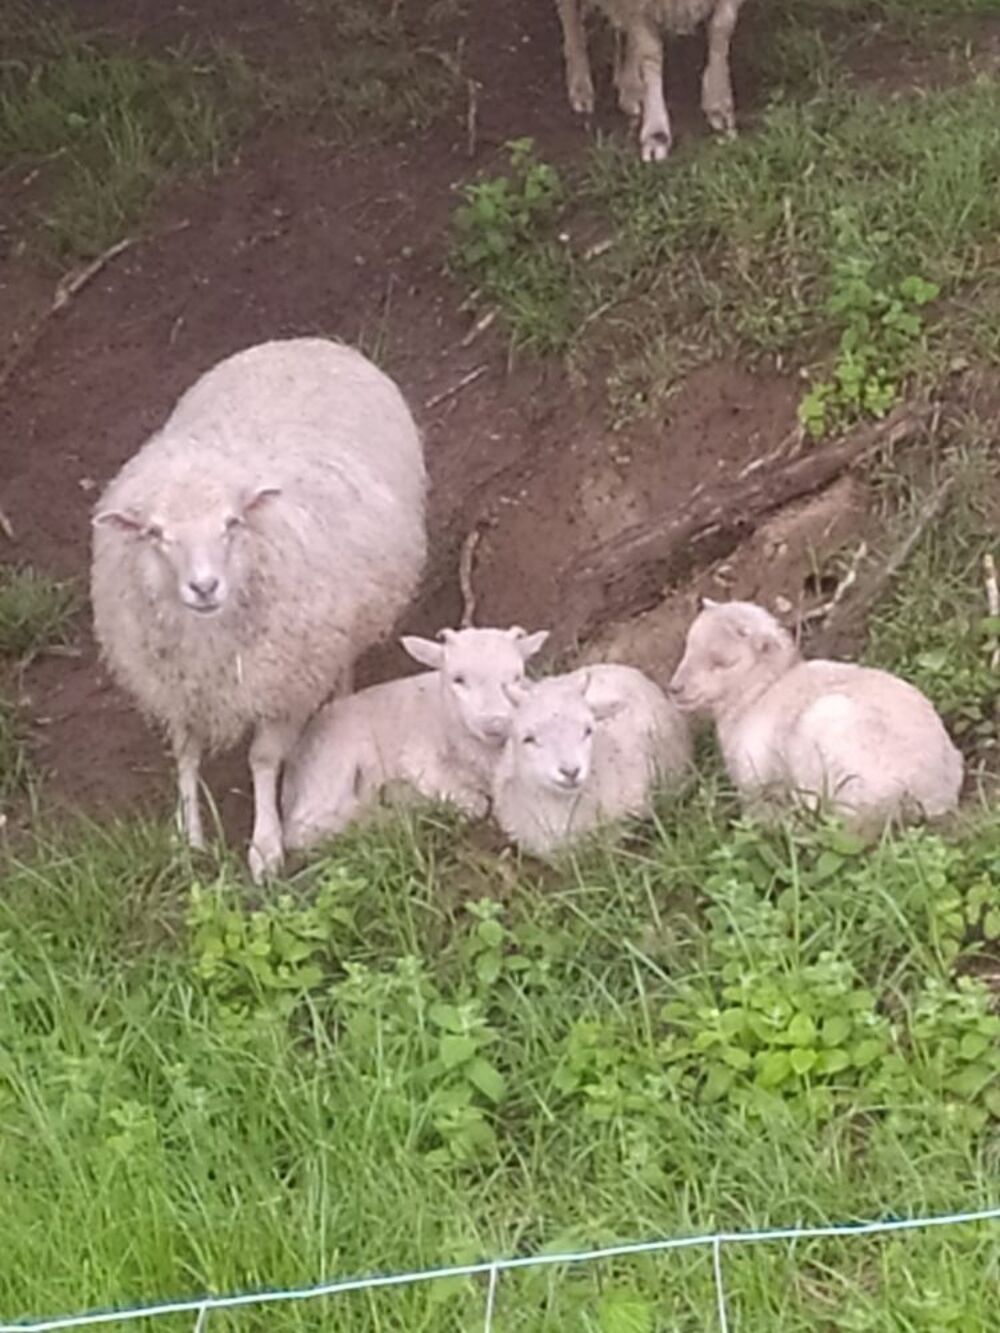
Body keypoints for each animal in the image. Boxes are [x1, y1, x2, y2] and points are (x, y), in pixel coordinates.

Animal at [90, 337, 427, 882]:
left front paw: (265, 847)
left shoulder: (282, 683)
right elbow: (185, 754)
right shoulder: (177, 685)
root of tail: (305, 341)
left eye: (232, 523)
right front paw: (188, 836)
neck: (208, 637)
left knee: (343, 661)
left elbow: (265, 760)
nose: (204, 587)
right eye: (155, 534)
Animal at [281, 625, 550, 851]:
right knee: (305, 827)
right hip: (331, 762)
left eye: (516, 677)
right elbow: (476, 804)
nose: (496, 723)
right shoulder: (416, 755)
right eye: (458, 679)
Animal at [554, 0, 748, 162]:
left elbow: (721, 31)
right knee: (570, 16)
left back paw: (631, 88)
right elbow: (651, 53)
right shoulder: (638, 5)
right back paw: (580, 86)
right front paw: (657, 134)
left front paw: (719, 107)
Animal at [668, 599, 964, 834]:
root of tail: (932, 794)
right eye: (688, 646)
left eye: (721, 662)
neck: (760, 692)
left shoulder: (755, 773)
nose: (675, 688)